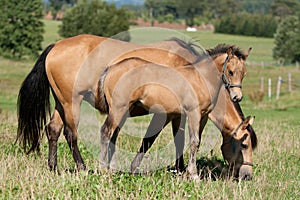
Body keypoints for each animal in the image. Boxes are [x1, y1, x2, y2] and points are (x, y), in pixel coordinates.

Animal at [98, 47, 248, 180]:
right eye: (230, 72)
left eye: (244, 74)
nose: (237, 97)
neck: (201, 78)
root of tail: (112, 68)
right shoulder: (193, 113)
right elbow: (194, 141)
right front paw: (193, 175)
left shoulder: (201, 116)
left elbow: (195, 143)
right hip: (118, 109)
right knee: (106, 132)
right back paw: (102, 169)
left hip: (123, 111)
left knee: (114, 135)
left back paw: (112, 169)